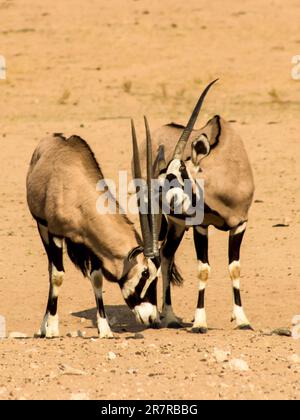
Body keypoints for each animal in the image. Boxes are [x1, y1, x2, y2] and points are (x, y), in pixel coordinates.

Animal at [26, 131, 161, 338]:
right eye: (146, 273)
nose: (152, 318)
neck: (77, 192)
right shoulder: (55, 233)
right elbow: (57, 276)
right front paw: (52, 328)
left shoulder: (92, 243)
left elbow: (96, 278)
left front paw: (104, 329)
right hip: (42, 227)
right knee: (51, 271)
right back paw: (45, 326)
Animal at [139, 81, 255, 332]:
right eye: (161, 179)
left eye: (180, 173)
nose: (165, 202)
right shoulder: (201, 226)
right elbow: (203, 269)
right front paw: (200, 322)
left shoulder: (240, 224)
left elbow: (234, 267)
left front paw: (242, 319)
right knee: (162, 257)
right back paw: (167, 316)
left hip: (176, 226)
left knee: (166, 254)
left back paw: (168, 315)